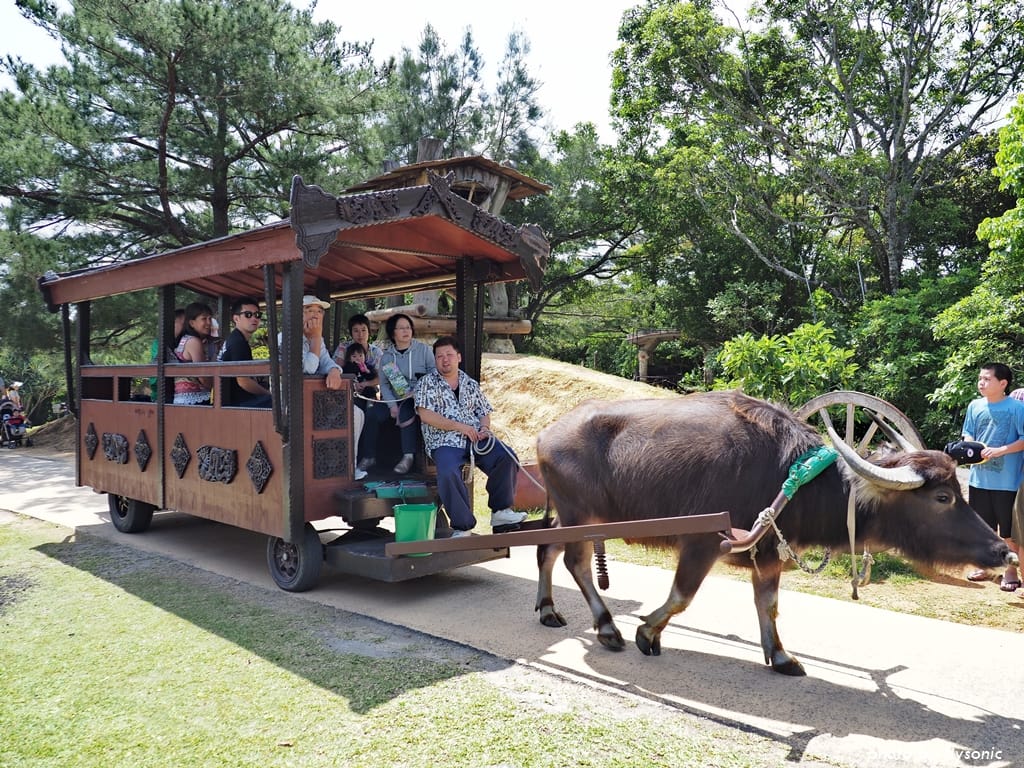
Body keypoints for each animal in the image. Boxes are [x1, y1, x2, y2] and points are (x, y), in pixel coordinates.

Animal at [534, 390, 1017, 676]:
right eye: (943, 498)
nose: (1004, 552)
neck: (791, 476)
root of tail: (546, 435)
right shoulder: (702, 542)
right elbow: (682, 596)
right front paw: (647, 633)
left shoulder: (767, 552)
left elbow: (768, 604)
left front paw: (781, 655)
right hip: (582, 517)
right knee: (576, 560)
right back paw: (607, 628)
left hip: (577, 517)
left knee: (547, 548)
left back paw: (548, 609)